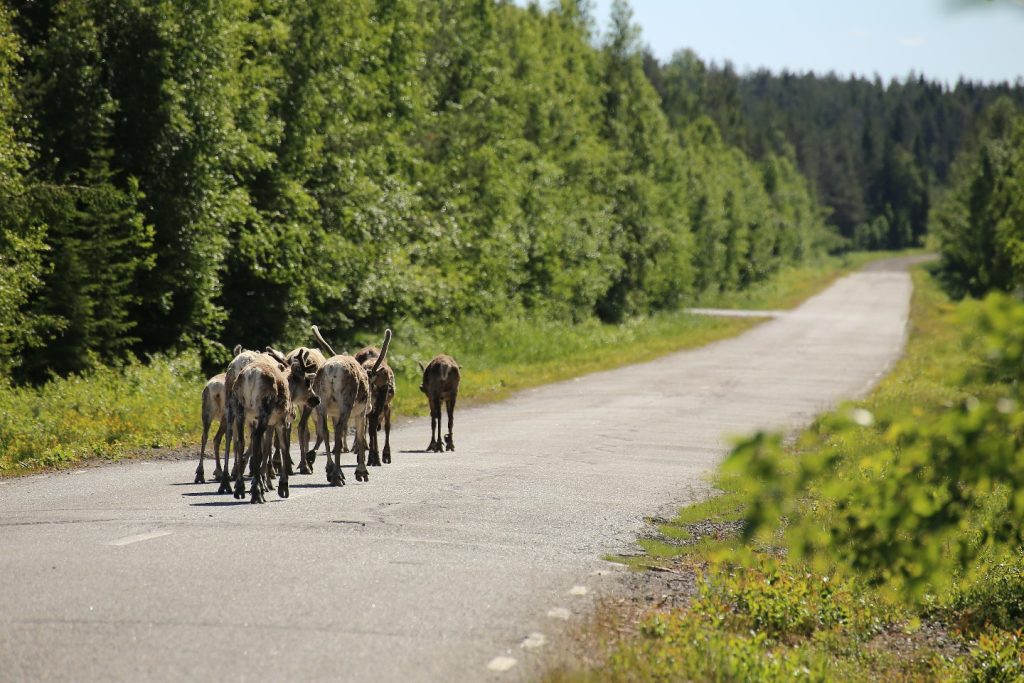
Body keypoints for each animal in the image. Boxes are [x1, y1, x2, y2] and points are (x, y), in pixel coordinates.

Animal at [229, 350, 319, 503]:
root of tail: (251, 375)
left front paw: (265, 482)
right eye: (307, 382)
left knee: (240, 442)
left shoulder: (259, 422)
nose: (316, 399)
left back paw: (240, 488)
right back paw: (256, 492)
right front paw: (282, 486)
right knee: (256, 439)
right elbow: (282, 447)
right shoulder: (280, 421)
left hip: (239, 408)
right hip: (264, 410)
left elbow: (266, 448)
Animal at [310, 326, 391, 486]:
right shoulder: (361, 413)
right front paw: (362, 472)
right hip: (346, 403)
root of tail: (331, 370)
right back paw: (338, 475)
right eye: (370, 384)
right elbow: (360, 437)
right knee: (339, 430)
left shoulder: (334, 413)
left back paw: (330, 470)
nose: (370, 407)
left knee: (326, 431)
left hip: (321, 404)